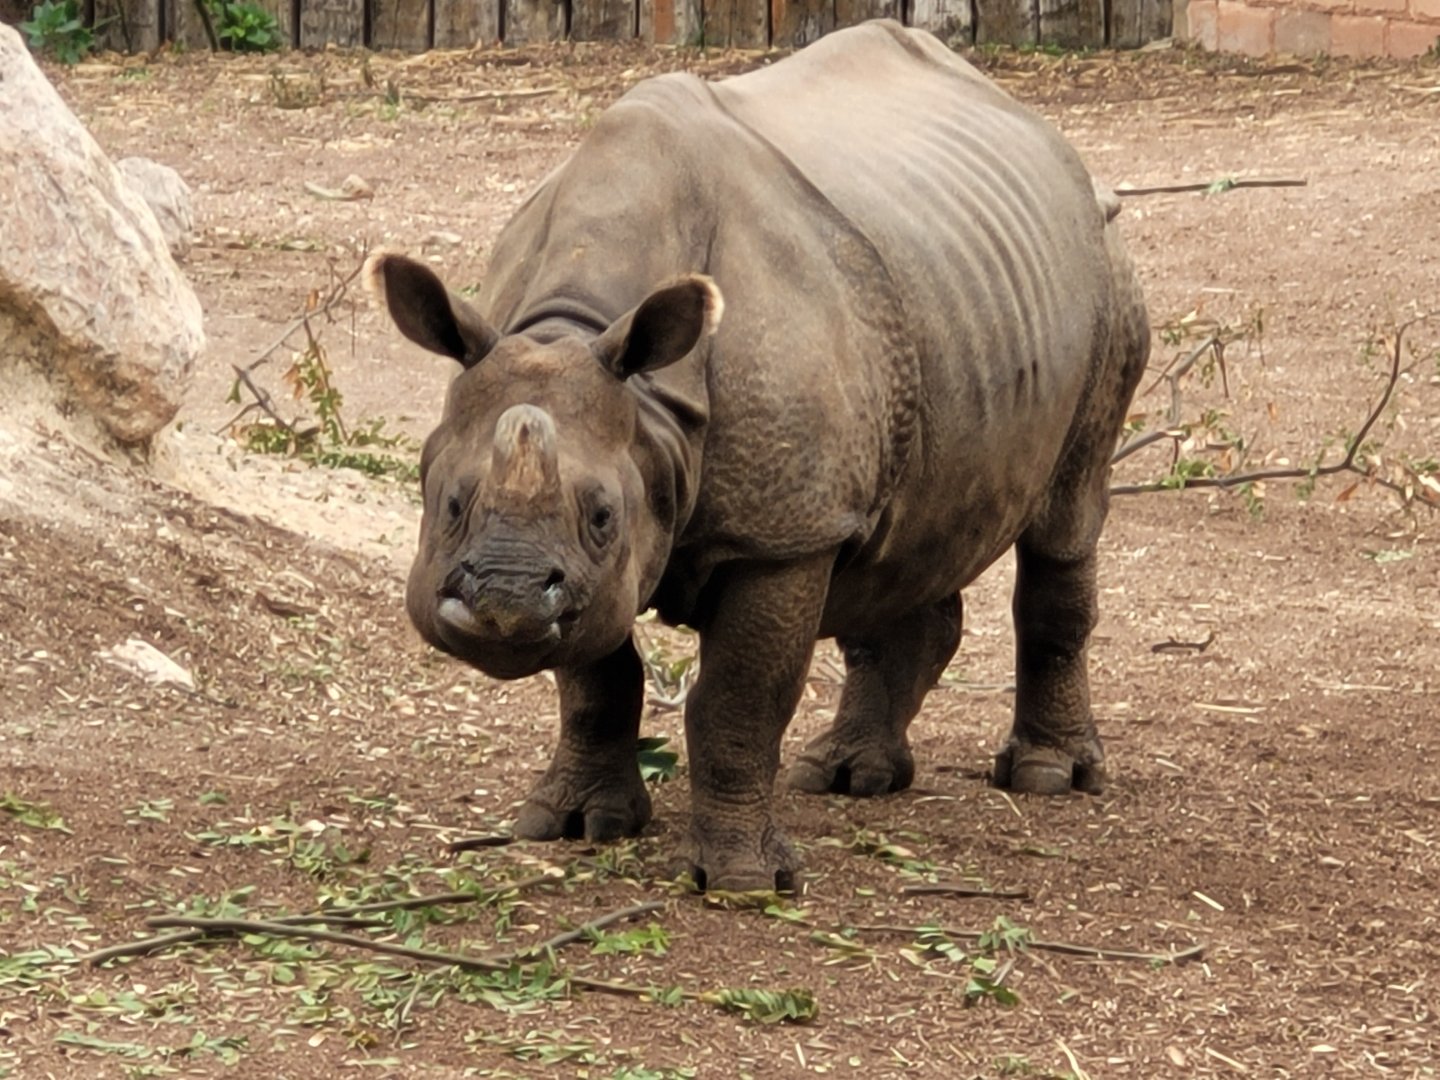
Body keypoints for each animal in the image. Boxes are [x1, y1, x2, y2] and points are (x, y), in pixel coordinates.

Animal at [367, 20, 1149, 892]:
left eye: (602, 515)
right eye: (448, 502)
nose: (503, 606)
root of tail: (1048, 136)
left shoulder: (784, 533)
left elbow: (738, 697)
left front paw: (742, 880)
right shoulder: (600, 563)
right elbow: (596, 670)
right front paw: (575, 825)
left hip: (1109, 272)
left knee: (1066, 516)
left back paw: (1048, 776)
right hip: (952, 297)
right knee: (901, 538)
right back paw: (846, 775)